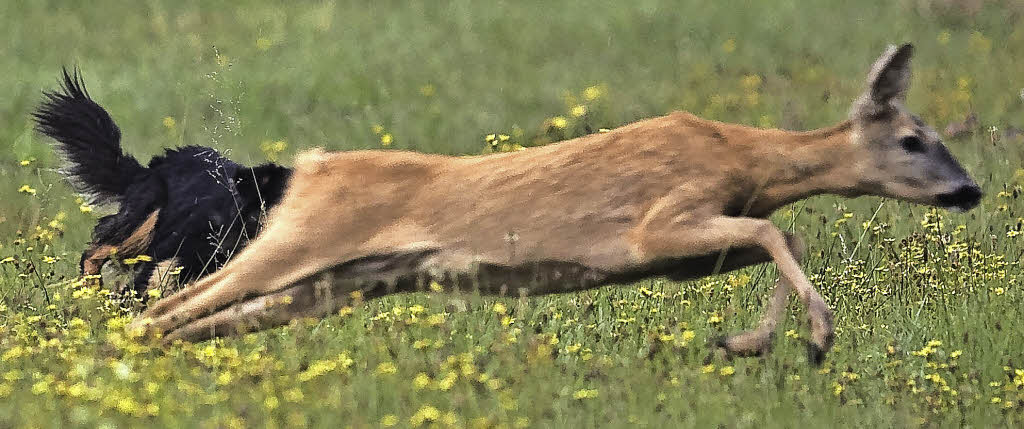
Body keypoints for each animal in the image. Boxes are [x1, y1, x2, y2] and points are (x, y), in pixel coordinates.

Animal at [132, 44, 978, 366]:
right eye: (912, 139)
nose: (968, 188)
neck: (742, 157)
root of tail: (307, 167)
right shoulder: (656, 226)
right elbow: (778, 230)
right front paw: (812, 335)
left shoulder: (685, 252)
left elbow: (781, 235)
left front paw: (752, 340)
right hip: (301, 242)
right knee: (170, 304)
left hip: (335, 281)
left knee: (197, 317)